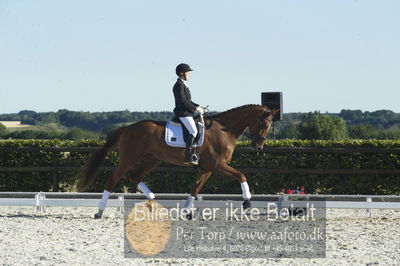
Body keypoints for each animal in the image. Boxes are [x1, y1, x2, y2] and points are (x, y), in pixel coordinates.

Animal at [78, 104, 278, 218]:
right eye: (265, 124)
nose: (259, 147)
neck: (224, 130)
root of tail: (127, 128)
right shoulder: (217, 165)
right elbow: (242, 175)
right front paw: (247, 202)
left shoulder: (207, 168)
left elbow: (195, 189)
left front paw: (187, 212)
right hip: (128, 159)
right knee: (113, 179)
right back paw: (99, 211)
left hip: (153, 160)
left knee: (135, 177)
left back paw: (153, 201)